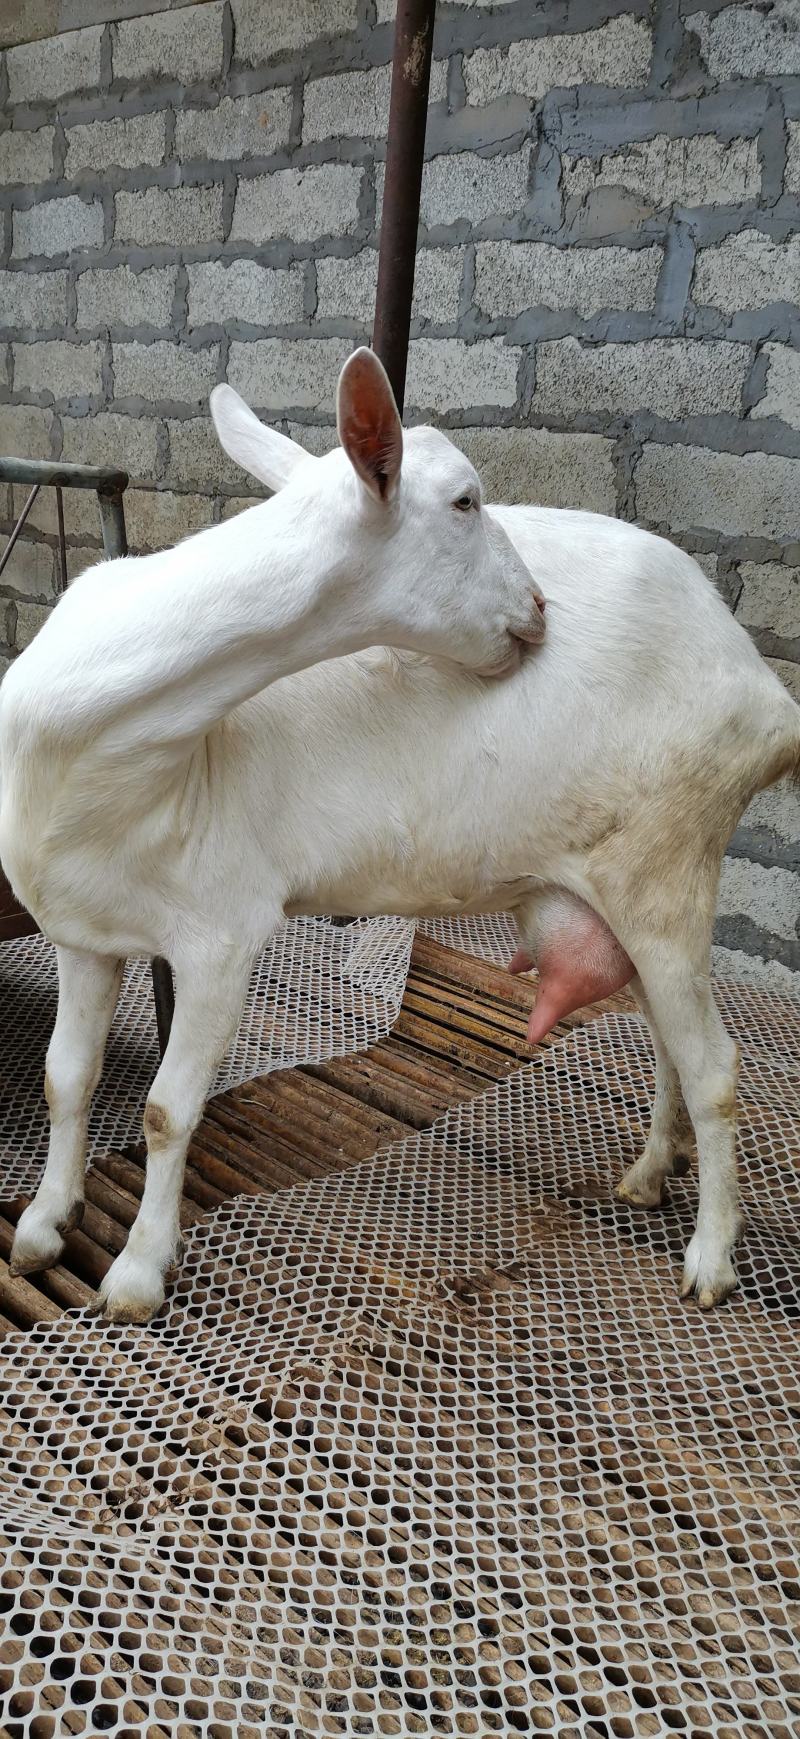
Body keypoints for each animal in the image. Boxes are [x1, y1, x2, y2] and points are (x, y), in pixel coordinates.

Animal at [2, 350, 798, 1327]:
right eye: (463, 500)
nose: (539, 606)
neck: (110, 746)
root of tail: (764, 691)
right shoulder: (84, 932)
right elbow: (64, 1078)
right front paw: (44, 1225)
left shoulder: (222, 932)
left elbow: (165, 1109)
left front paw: (138, 1272)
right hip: (628, 882)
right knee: (666, 1041)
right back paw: (650, 1172)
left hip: (668, 861)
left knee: (716, 1065)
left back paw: (712, 1257)